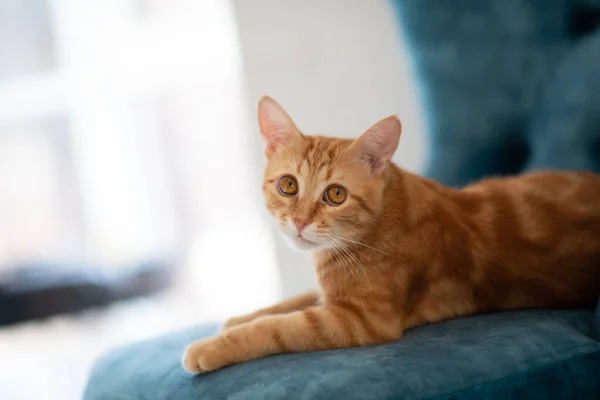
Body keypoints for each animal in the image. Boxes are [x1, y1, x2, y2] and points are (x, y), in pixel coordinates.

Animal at [182, 95, 600, 374]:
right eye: (288, 185)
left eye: (336, 194)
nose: (299, 222)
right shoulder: (327, 294)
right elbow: (287, 303)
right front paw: (238, 319)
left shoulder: (361, 321)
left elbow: (280, 327)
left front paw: (213, 346)